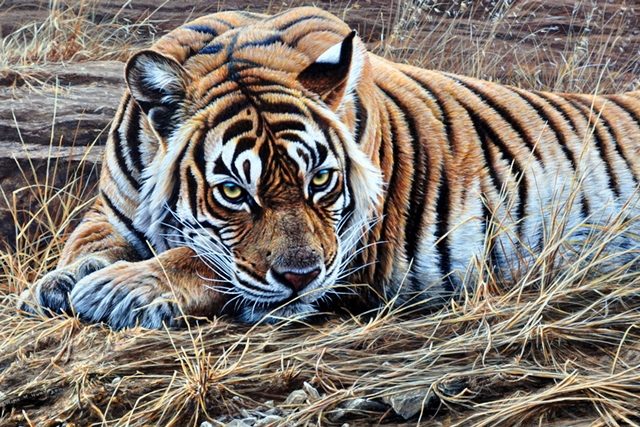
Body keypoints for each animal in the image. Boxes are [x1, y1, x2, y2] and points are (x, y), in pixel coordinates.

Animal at [17, 7, 640, 329]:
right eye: (233, 192)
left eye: (320, 180)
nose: (301, 277)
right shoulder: (111, 212)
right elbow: (87, 242)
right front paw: (54, 283)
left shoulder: (360, 248)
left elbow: (202, 260)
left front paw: (123, 289)